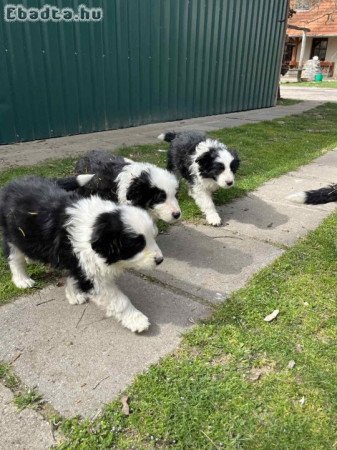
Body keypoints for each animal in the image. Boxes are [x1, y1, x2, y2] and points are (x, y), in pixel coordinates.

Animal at [0, 178, 163, 332]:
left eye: (153, 237)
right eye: (138, 245)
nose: (160, 260)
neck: (95, 226)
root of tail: (13, 183)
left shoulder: (80, 261)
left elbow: (74, 276)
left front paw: (74, 294)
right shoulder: (93, 276)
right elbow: (118, 300)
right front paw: (137, 320)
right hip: (11, 234)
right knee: (15, 258)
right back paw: (22, 280)